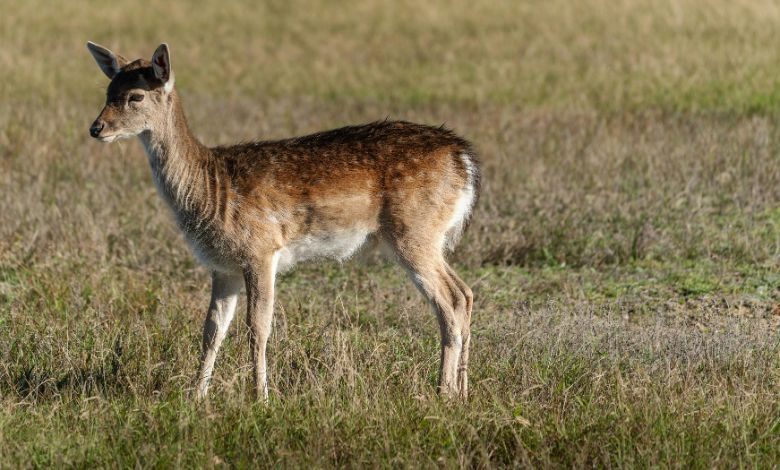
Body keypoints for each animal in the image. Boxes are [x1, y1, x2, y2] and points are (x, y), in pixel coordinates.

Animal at [86, 42, 480, 401]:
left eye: (135, 96)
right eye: (108, 90)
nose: (96, 128)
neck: (211, 188)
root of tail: (464, 159)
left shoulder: (260, 248)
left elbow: (257, 326)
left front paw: (260, 397)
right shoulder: (222, 265)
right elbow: (212, 329)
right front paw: (196, 396)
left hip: (414, 231)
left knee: (449, 300)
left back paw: (443, 392)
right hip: (429, 237)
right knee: (465, 293)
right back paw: (462, 392)